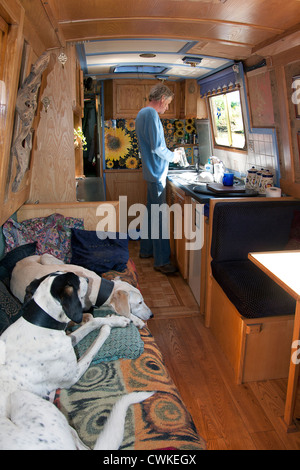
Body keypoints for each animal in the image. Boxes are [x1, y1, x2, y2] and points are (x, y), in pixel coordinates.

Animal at [0, 270, 155, 450]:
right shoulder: (73, 374)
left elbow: (93, 322)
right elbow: (94, 342)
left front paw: (116, 320)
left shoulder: (71, 337)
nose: (151, 315)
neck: (41, 323)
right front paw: (114, 325)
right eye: (140, 302)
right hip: (23, 398)